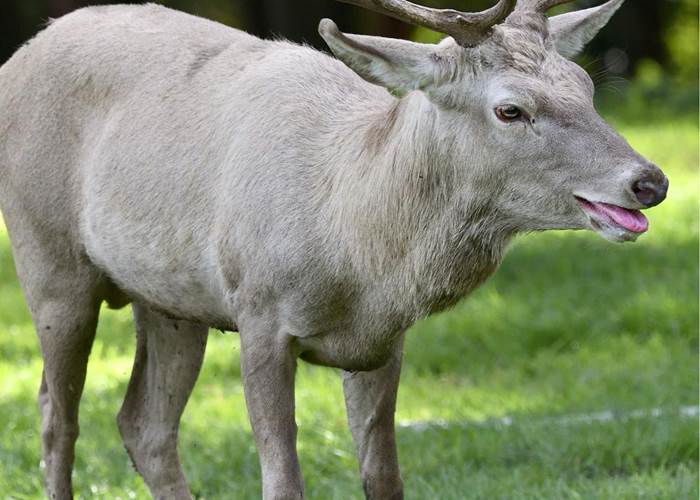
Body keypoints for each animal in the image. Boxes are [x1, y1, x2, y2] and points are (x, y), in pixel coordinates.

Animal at [0, 0, 668, 498]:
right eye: (510, 109)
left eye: (585, 85)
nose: (650, 182)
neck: (353, 248)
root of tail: (17, 58)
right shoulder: (259, 310)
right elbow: (282, 482)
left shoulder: (383, 344)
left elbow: (384, 479)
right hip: (47, 257)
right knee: (55, 418)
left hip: (171, 299)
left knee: (145, 426)